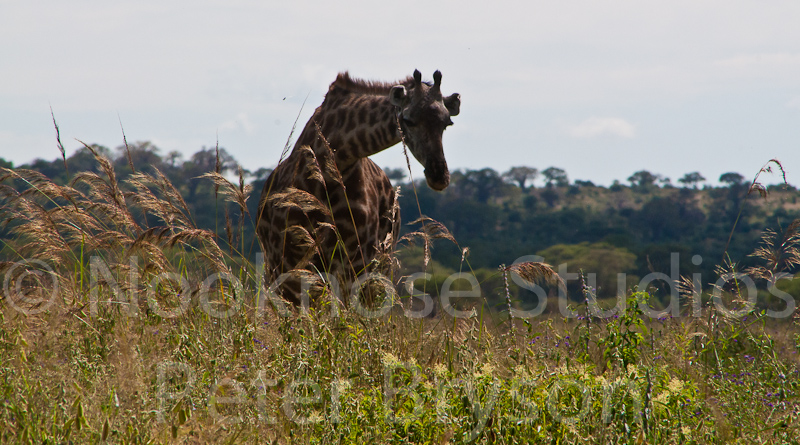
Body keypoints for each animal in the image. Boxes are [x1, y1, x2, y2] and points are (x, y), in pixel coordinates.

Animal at [257, 69, 460, 306]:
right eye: (408, 120)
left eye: (447, 123)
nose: (439, 176)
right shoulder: (291, 260)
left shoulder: (357, 261)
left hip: (381, 262)